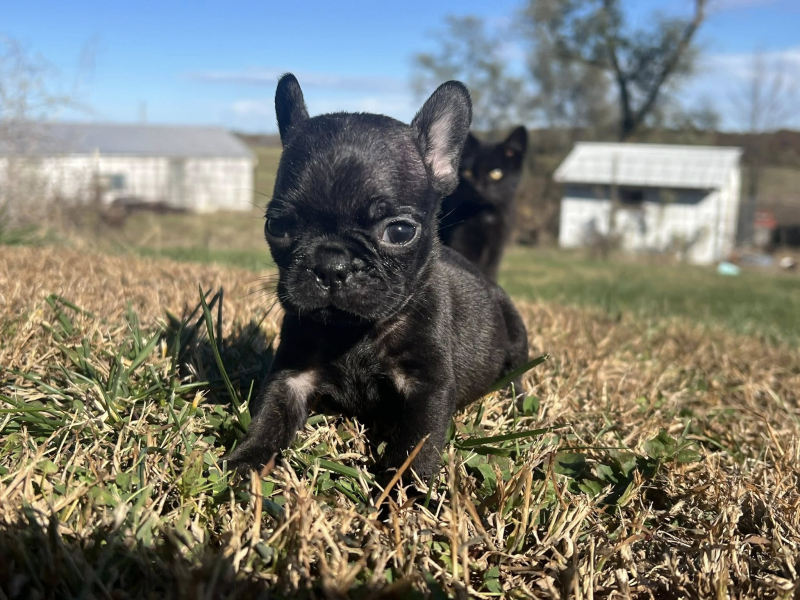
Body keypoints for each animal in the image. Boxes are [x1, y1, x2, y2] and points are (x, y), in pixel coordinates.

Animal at [438, 126, 527, 281]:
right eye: (468, 172)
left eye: (496, 173)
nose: (478, 188)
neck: (485, 214)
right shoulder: (461, 243)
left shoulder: (496, 249)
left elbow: (490, 274)